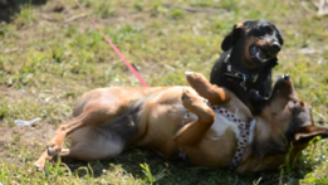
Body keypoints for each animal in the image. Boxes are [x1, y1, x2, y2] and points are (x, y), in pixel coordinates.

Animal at [34, 71, 328, 173]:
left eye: (296, 104)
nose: (286, 75)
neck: (250, 133)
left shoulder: (184, 140)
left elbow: (207, 116)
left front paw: (192, 100)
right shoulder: (230, 100)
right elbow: (216, 96)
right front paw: (195, 83)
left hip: (101, 149)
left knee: (64, 145)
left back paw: (47, 156)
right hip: (108, 107)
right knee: (63, 127)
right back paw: (47, 153)